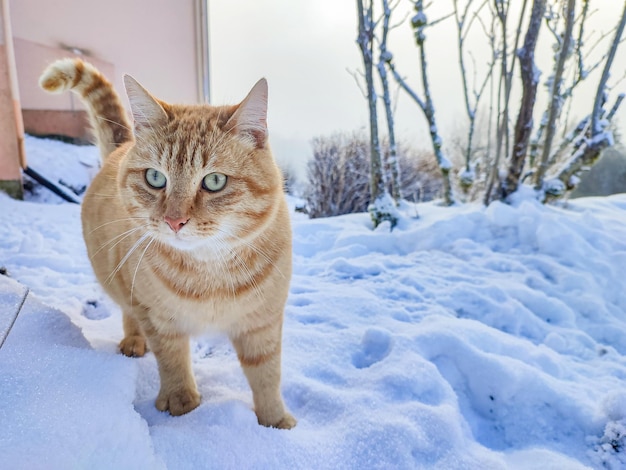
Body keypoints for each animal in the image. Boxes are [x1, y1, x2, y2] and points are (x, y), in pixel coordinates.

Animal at [40, 58, 296, 430]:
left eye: (214, 181)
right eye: (155, 178)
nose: (175, 221)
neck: (209, 271)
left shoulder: (263, 321)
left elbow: (266, 373)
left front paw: (275, 423)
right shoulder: (157, 316)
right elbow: (172, 361)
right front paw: (182, 406)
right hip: (121, 281)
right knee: (128, 313)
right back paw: (133, 342)